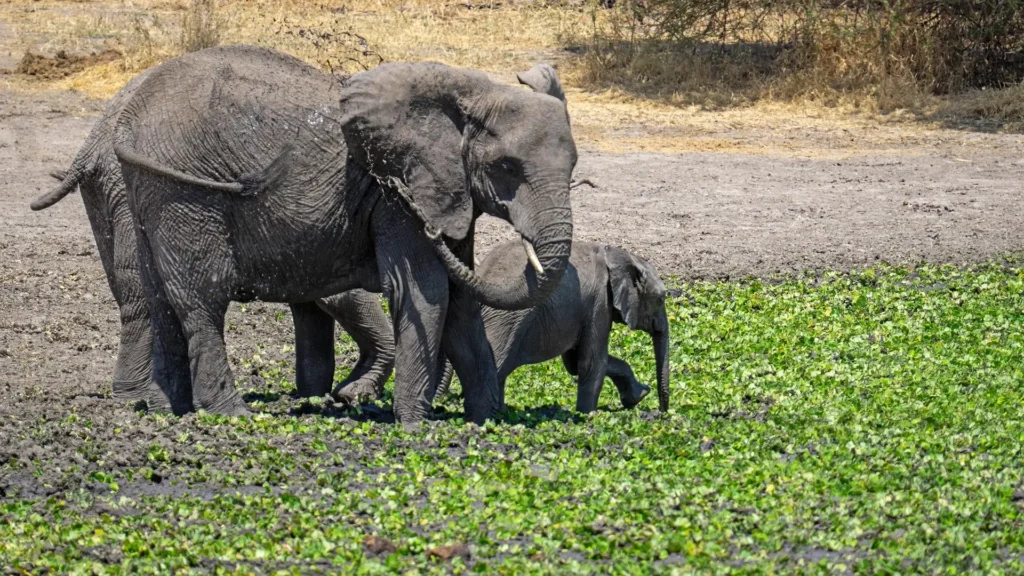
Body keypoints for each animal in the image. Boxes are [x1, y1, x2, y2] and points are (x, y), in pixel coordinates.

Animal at [30, 68, 396, 409]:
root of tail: (89, 147)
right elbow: (336, 293)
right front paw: (347, 395)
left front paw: (319, 398)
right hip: (145, 187)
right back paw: (138, 397)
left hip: (112, 192)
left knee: (133, 289)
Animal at [109, 45, 577, 423]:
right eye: (507, 167)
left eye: (573, 165)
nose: (430, 230)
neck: (473, 92)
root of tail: (129, 118)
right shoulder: (394, 193)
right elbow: (425, 291)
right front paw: (413, 426)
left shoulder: (445, 192)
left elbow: (460, 300)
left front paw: (487, 419)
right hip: (184, 194)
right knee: (203, 299)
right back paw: (232, 414)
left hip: (148, 188)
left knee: (160, 298)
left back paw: (170, 410)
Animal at [434, 242, 670, 414]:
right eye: (661, 299)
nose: (662, 414)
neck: (616, 255)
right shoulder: (599, 303)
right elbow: (590, 362)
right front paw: (587, 417)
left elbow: (575, 363)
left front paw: (639, 396)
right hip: (504, 320)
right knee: (496, 365)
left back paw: (501, 414)